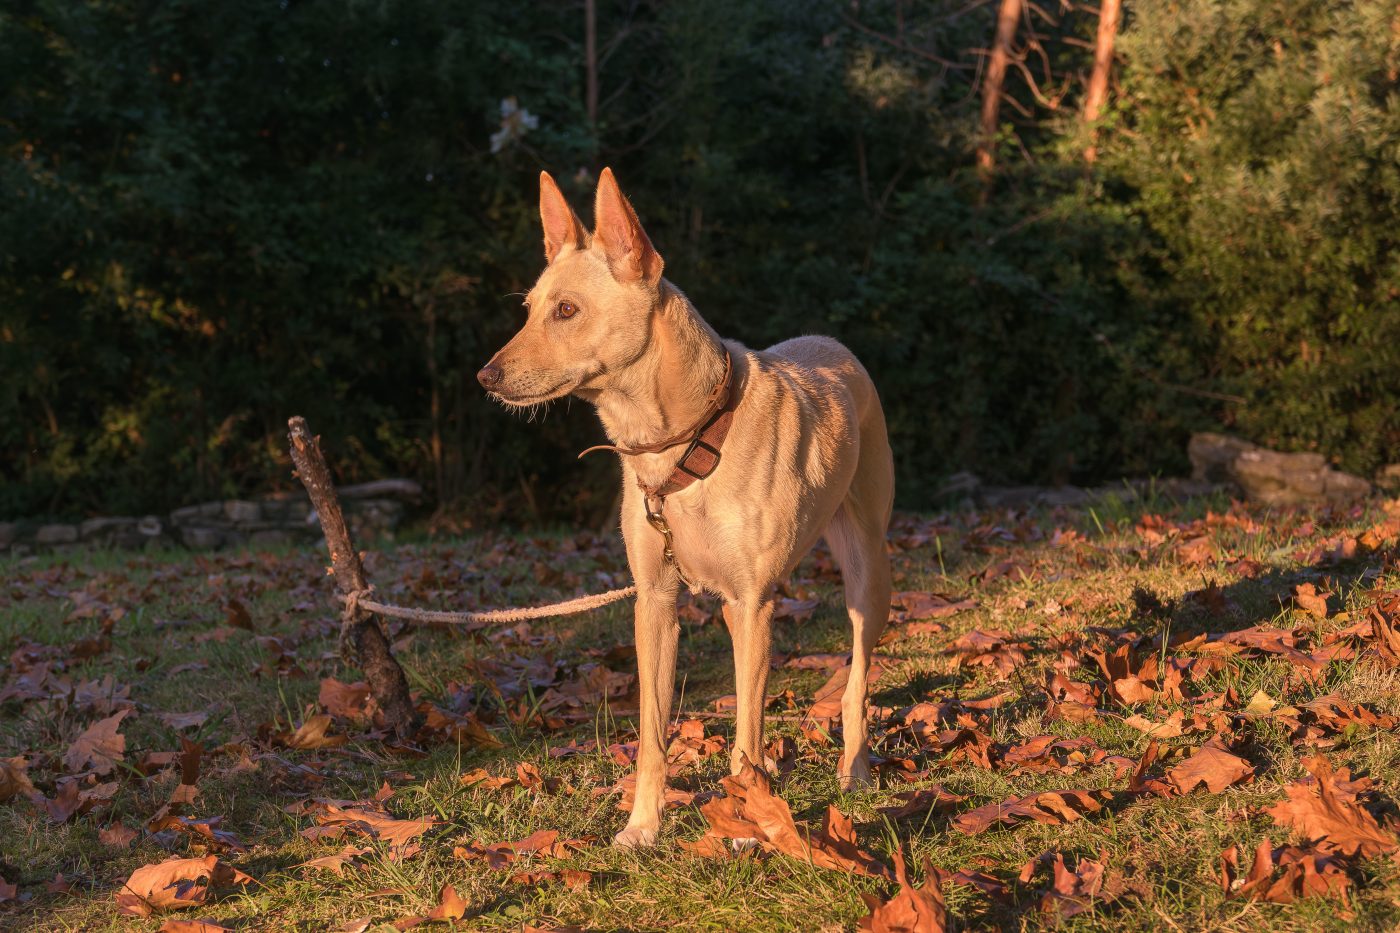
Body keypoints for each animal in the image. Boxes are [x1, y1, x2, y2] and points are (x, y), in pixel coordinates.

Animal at [481, 165, 890, 840]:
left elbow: (748, 733)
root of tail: (832, 344)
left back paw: (853, 768)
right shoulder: (655, 604)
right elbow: (653, 734)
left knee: (857, 676)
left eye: (566, 311)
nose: (484, 377)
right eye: (529, 310)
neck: (686, 445)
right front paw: (644, 826)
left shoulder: (753, 604)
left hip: (866, 576)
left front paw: (750, 821)